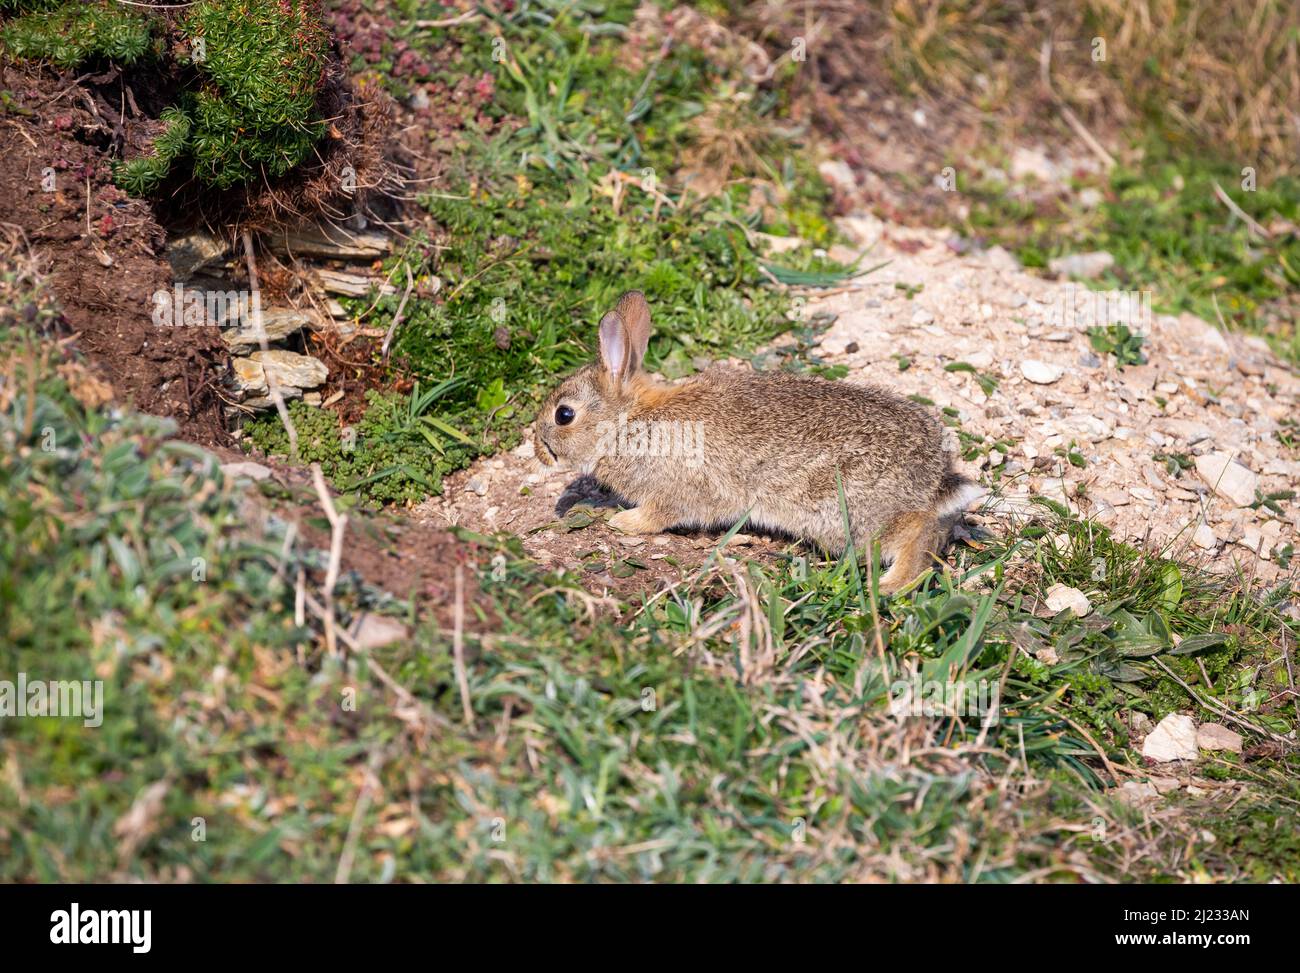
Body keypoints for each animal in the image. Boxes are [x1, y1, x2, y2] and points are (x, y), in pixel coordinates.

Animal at [533, 290, 985, 593]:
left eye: (564, 415)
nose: (540, 449)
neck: (627, 422)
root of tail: (934, 477)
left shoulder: (675, 489)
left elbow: (658, 515)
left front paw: (622, 522)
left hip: (849, 515)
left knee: (915, 534)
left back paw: (893, 583)